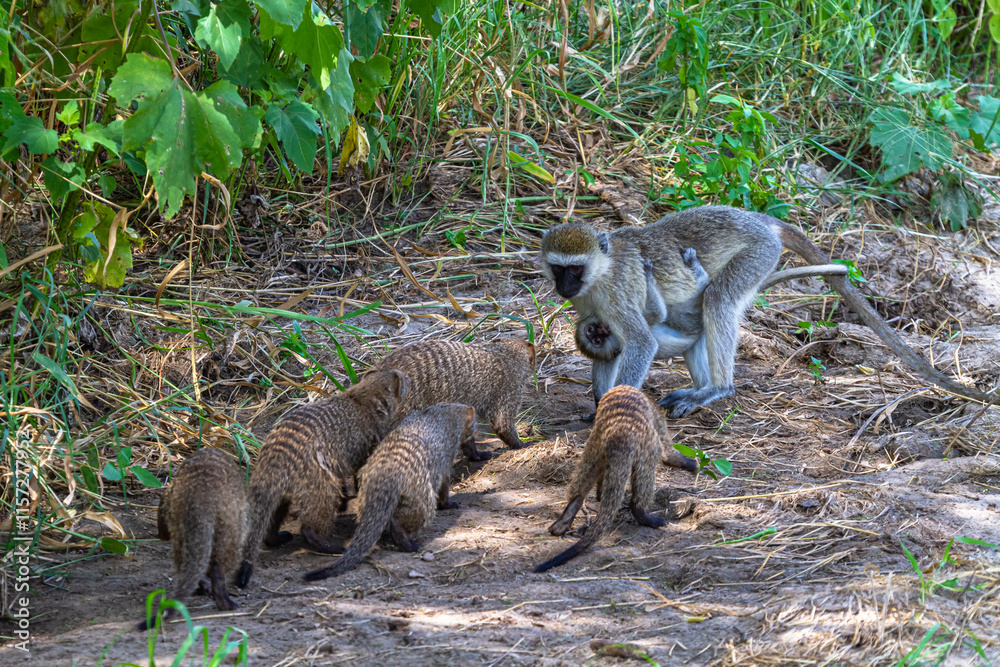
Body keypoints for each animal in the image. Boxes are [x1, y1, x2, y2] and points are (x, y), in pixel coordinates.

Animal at [137, 449, 248, 631]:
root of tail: (202, 499)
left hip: (181, 526)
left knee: (185, 560)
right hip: (230, 527)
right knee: (219, 563)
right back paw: (223, 601)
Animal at [234, 369, 410, 588]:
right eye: (404, 379)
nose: (409, 378)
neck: (360, 401)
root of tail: (275, 457)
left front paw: (345, 503)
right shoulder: (365, 444)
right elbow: (360, 472)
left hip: (282, 489)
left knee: (271, 521)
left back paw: (280, 537)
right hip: (318, 480)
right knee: (311, 523)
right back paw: (331, 546)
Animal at [302, 404, 483, 580]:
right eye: (475, 424)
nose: (478, 430)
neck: (445, 415)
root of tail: (386, 475)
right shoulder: (445, 457)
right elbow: (444, 485)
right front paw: (450, 504)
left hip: (366, 491)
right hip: (419, 493)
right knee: (410, 517)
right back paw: (407, 544)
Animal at [533, 385, 677, 572]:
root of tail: (620, 435)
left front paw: (599, 494)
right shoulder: (656, 419)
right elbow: (668, 452)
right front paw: (690, 463)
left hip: (595, 445)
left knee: (584, 480)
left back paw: (564, 520)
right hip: (645, 447)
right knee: (645, 477)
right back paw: (646, 516)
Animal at [538, 205, 994, 418]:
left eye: (575, 269)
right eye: (559, 269)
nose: (564, 287)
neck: (599, 274)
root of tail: (759, 220)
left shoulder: (616, 293)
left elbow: (641, 342)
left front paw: (613, 407)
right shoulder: (592, 310)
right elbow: (609, 350)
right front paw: (598, 400)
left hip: (758, 254)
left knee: (718, 300)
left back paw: (717, 389)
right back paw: (702, 387)